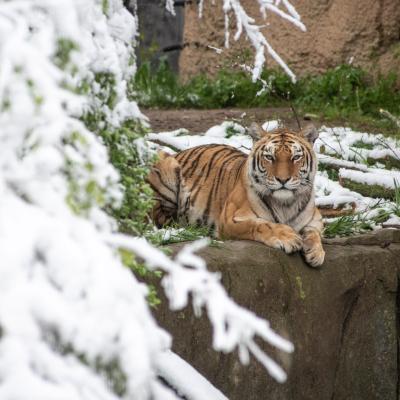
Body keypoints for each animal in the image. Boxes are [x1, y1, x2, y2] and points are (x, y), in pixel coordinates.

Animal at [147, 123, 324, 268]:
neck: (286, 203)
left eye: (296, 157)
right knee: (162, 219)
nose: (283, 179)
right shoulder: (229, 220)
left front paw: (316, 252)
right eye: (269, 157)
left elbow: (314, 233)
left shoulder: (315, 221)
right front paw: (288, 237)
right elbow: (261, 224)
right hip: (166, 167)